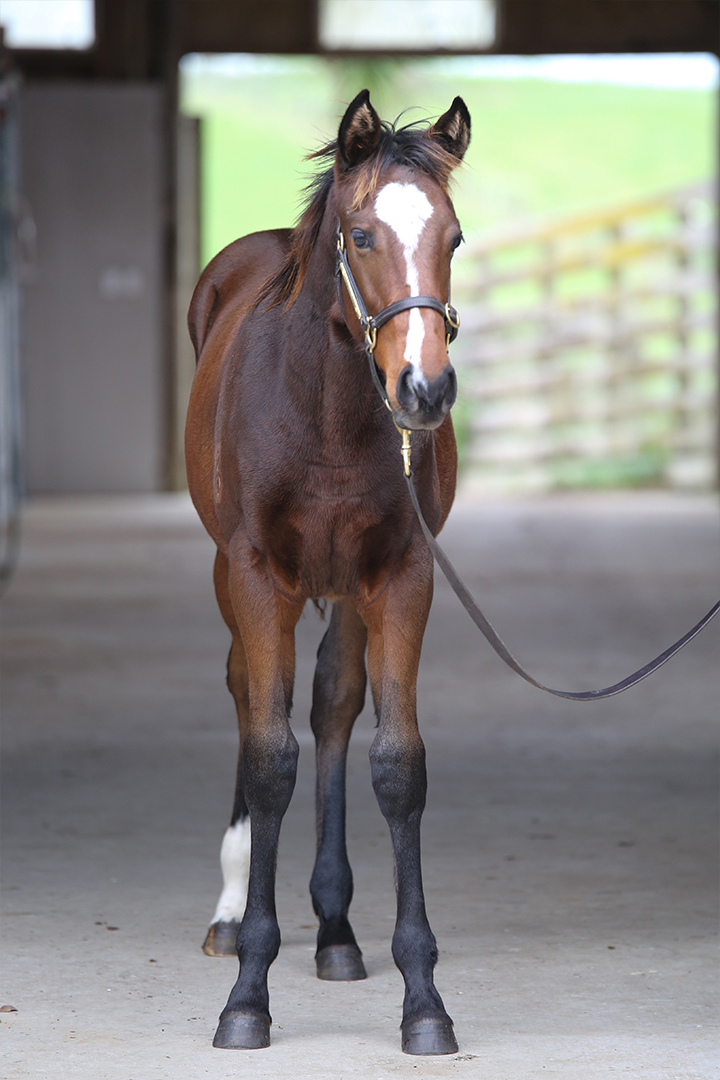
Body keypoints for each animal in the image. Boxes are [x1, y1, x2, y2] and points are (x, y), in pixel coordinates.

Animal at [185, 88, 471, 1056]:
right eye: (361, 235)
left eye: (454, 236)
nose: (424, 390)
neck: (330, 413)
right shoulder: (256, 576)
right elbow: (270, 756)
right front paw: (247, 995)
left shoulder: (402, 576)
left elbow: (397, 763)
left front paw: (424, 999)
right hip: (234, 578)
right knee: (248, 696)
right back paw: (232, 910)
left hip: (345, 590)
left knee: (333, 707)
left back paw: (338, 930)